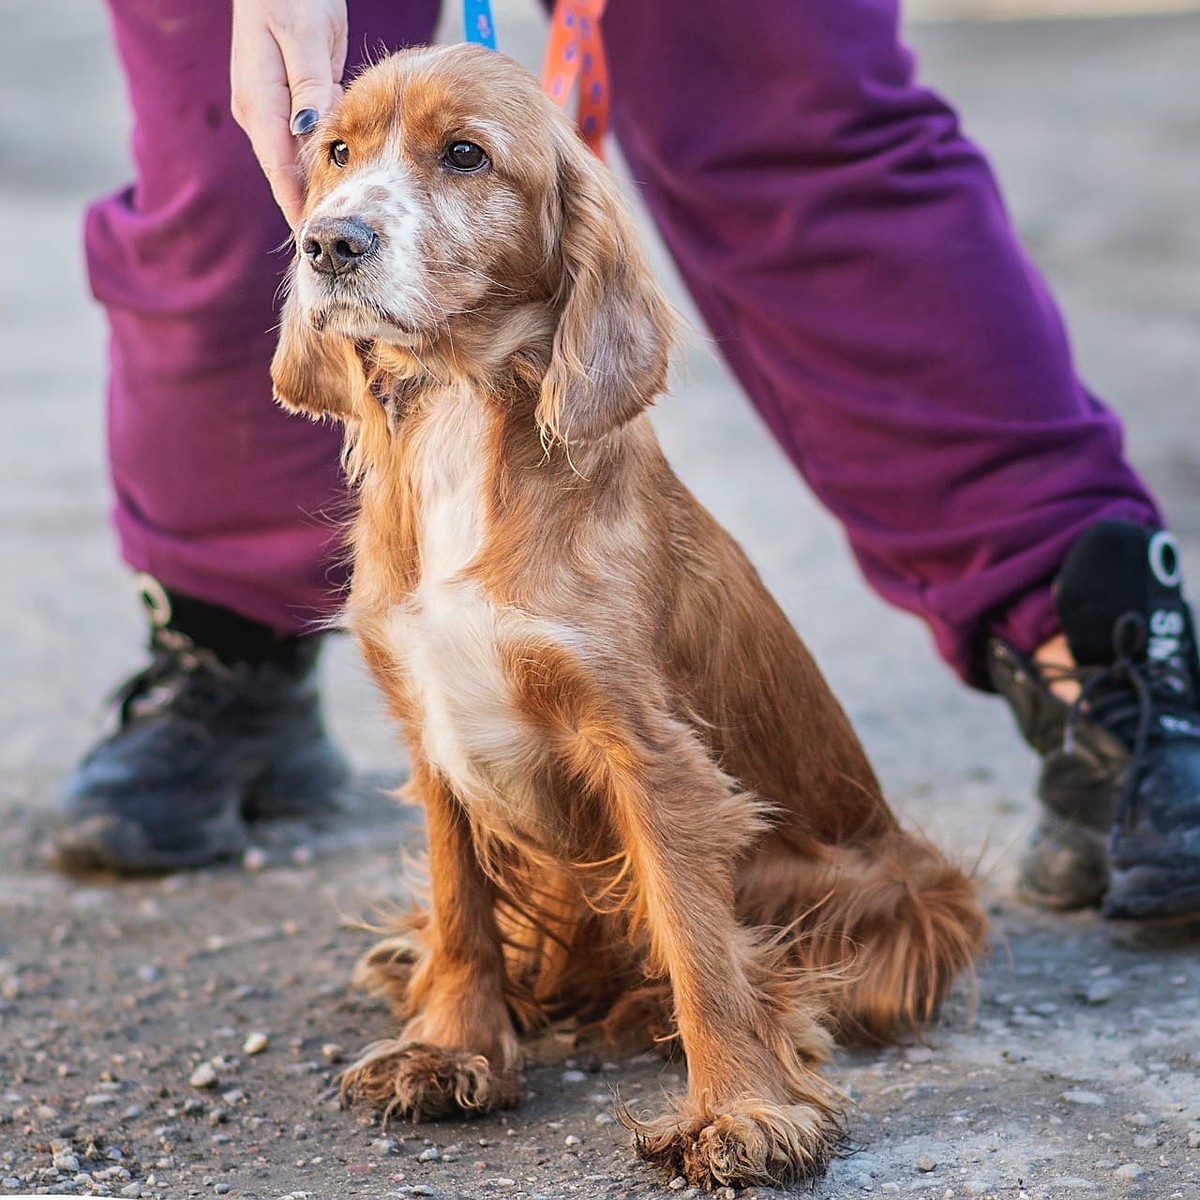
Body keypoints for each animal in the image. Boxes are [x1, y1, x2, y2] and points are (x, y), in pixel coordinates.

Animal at [270, 44, 984, 1190]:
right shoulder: (430, 728)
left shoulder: (648, 753)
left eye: (464, 155)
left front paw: (740, 1111)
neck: (467, 410)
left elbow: (699, 944)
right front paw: (452, 1047)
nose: (329, 241)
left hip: (911, 897)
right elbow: (463, 905)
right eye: (335, 150)